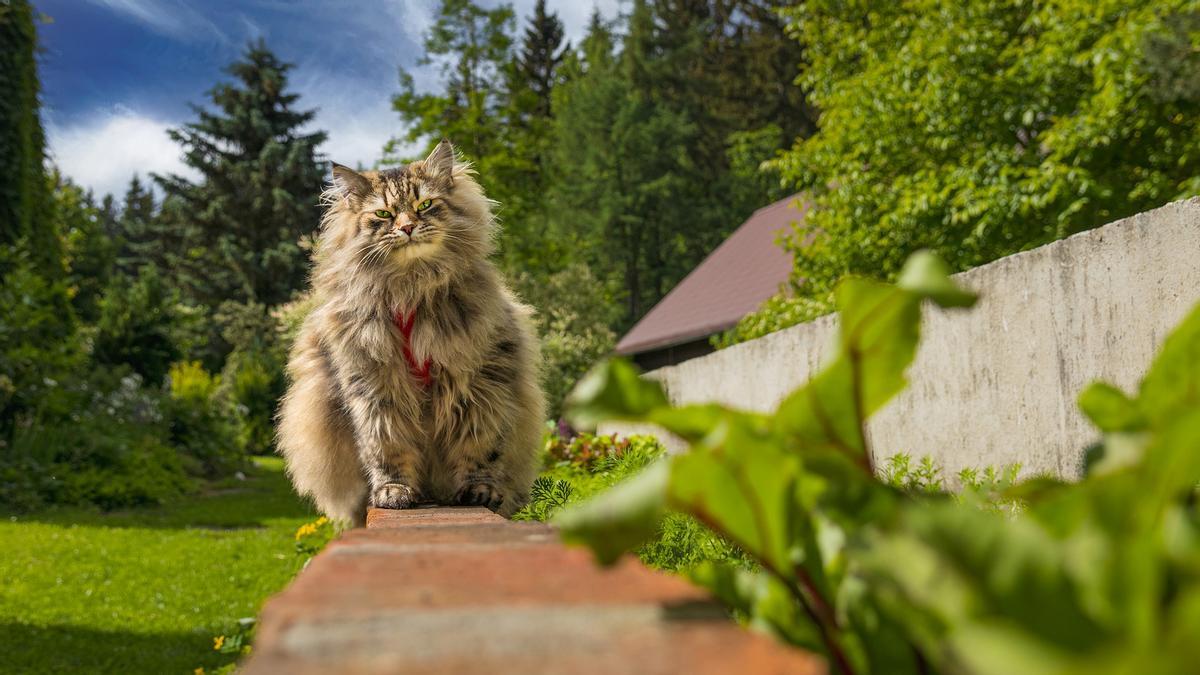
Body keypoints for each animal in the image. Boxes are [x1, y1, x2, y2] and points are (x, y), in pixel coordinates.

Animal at [276, 139, 544, 523]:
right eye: (384, 215)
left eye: (424, 205)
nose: (406, 227)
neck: (411, 288)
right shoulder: (374, 385)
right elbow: (386, 446)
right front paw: (393, 491)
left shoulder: (482, 381)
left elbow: (480, 445)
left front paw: (479, 490)